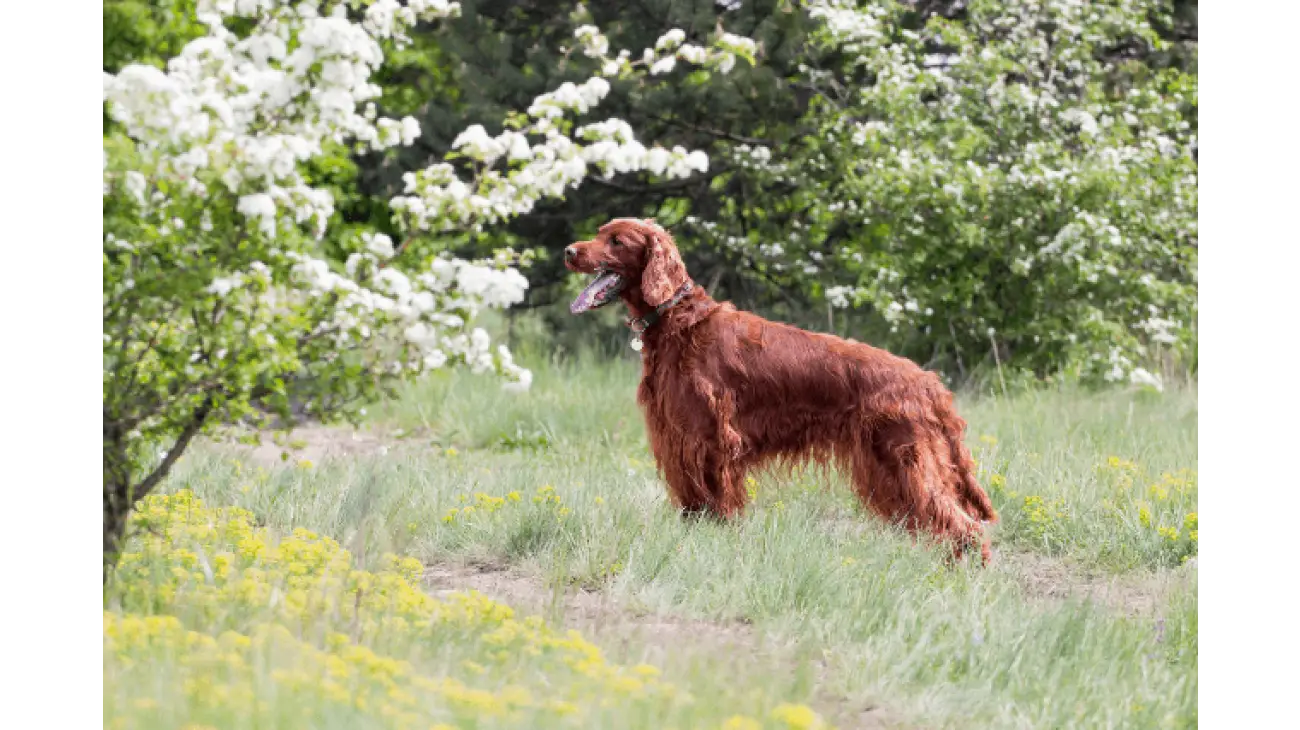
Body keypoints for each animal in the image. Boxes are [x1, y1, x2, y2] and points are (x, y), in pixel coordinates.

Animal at [564, 214, 998, 555]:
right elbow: (694, 506)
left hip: (905, 460)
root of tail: (930, 382)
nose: (569, 251)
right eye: (599, 232)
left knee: (964, 527)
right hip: (892, 470)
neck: (678, 321)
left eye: (616, 240)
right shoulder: (678, 441)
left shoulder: (708, 441)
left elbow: (718, 506)